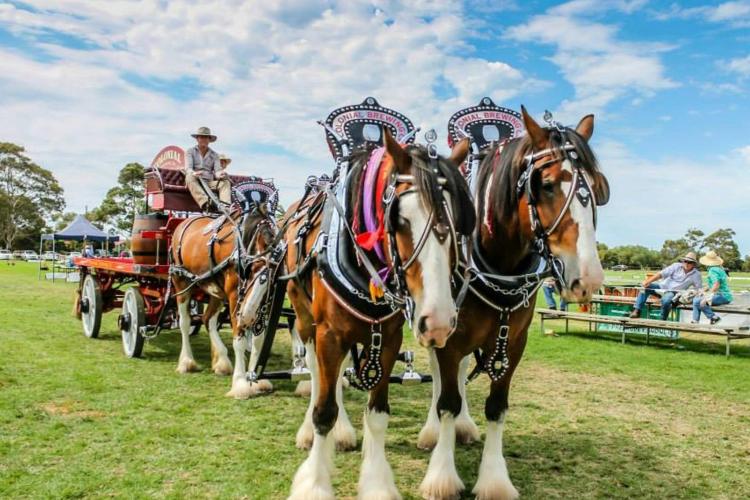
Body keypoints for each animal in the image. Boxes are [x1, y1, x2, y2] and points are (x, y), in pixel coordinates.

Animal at [169, 195, 278, 398]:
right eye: (253, 270)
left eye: (269, 278)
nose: (247, 315)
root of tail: (183, 223)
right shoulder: (235, 295)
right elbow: (239, 340)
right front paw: (240, 383)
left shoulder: (265, 300)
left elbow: (258, 340)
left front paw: (255, 380)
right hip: (181, 281)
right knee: (185, 323)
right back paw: (187, 362)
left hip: (216, 291)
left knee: (208, 319)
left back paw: (221, 362)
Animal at [284, 130, 472, 500]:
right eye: (400, 219)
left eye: (457, 222)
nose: (438, 321)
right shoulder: (329, 334)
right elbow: (324, 410)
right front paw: (314, 484)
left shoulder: (388, 338)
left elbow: (377, 413)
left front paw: (376, 485)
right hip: (304, 316)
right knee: (316, 373)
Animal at [420, 107, 612, 498]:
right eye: (548, 184)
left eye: (599, 188)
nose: (588, 278)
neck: (498, 265)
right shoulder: (447, 336)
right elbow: (447, 401)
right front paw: (442, 476)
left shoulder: (514, 343)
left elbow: (496, 407)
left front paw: (494, 479)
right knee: (439, 378)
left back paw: (464, 426)